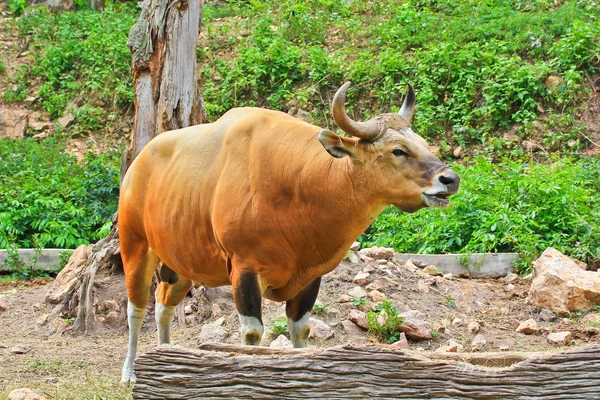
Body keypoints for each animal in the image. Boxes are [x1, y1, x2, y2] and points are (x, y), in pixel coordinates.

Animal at [118, 82, 460, 382]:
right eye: (398, 150)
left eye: (423, 143)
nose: (450, 179)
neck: (298, 186)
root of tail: (137, 165)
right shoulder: (244, 270)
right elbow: (252, 334)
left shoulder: (310, 276)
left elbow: (300, 331)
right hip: (135, 247)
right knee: (136, 309)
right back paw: (131, 373)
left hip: (180, 264)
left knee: (163, 305)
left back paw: (165, 357)